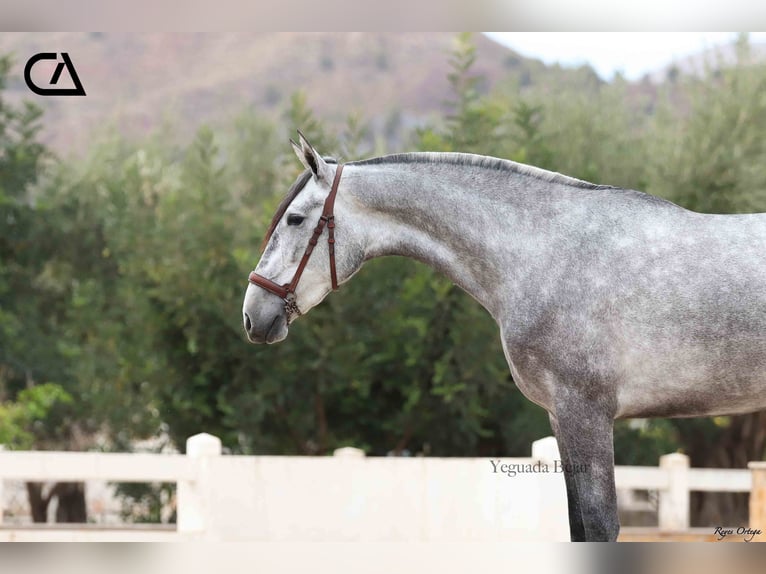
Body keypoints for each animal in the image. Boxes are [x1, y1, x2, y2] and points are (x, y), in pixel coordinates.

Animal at [243, 133, 766, 544]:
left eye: (294, 220)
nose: (253, 315)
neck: (544, 253)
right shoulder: (561, 418)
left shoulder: (586, 414)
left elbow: (600, 527)